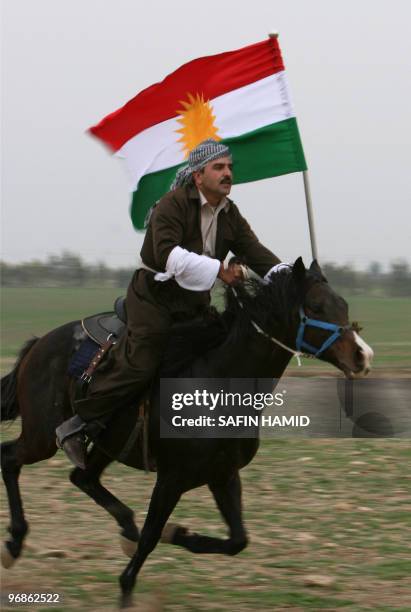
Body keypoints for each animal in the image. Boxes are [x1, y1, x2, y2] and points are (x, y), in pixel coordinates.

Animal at [0, 258, 374, 608]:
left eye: (343, 305)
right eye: (316, 307)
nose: (362, 356)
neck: (218, 383)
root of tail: (40, 343)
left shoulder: (223, 475)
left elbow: (237, 540)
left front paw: (177, 533)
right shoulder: (172, 478)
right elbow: (152, 535)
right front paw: (127, 588)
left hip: (107, 444)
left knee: (82, 478)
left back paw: (123, 528)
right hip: (42, 437)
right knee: (10, 458)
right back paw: (15, 542)